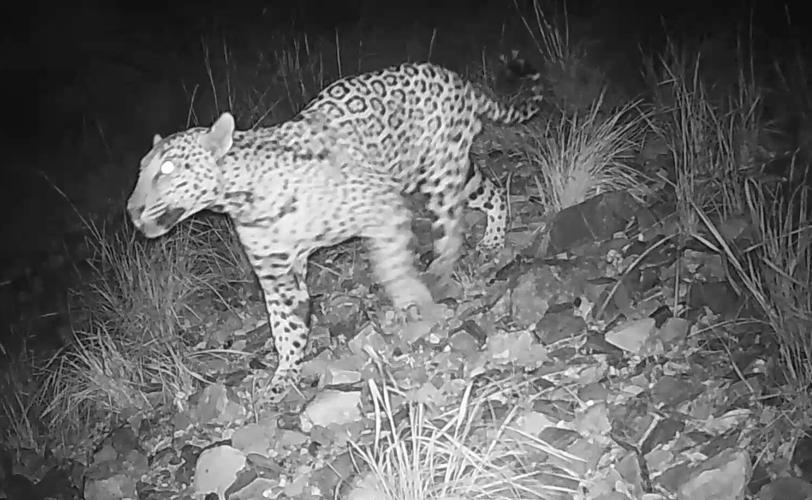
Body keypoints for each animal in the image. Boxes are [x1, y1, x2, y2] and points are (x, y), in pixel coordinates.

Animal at [127, 61, 540, 401]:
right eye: (142, 169)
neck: (244, 200)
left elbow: (393, 268)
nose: (131, 211)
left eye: (167, 170)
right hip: (449, 173)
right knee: (489, 191)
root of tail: (456, 78)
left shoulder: (383, 206)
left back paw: (443, 267)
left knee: (452, 224)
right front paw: (283, 377)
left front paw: (412, 302)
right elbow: (285, 326)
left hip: (438, 172)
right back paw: (492, 239)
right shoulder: (276, 273)